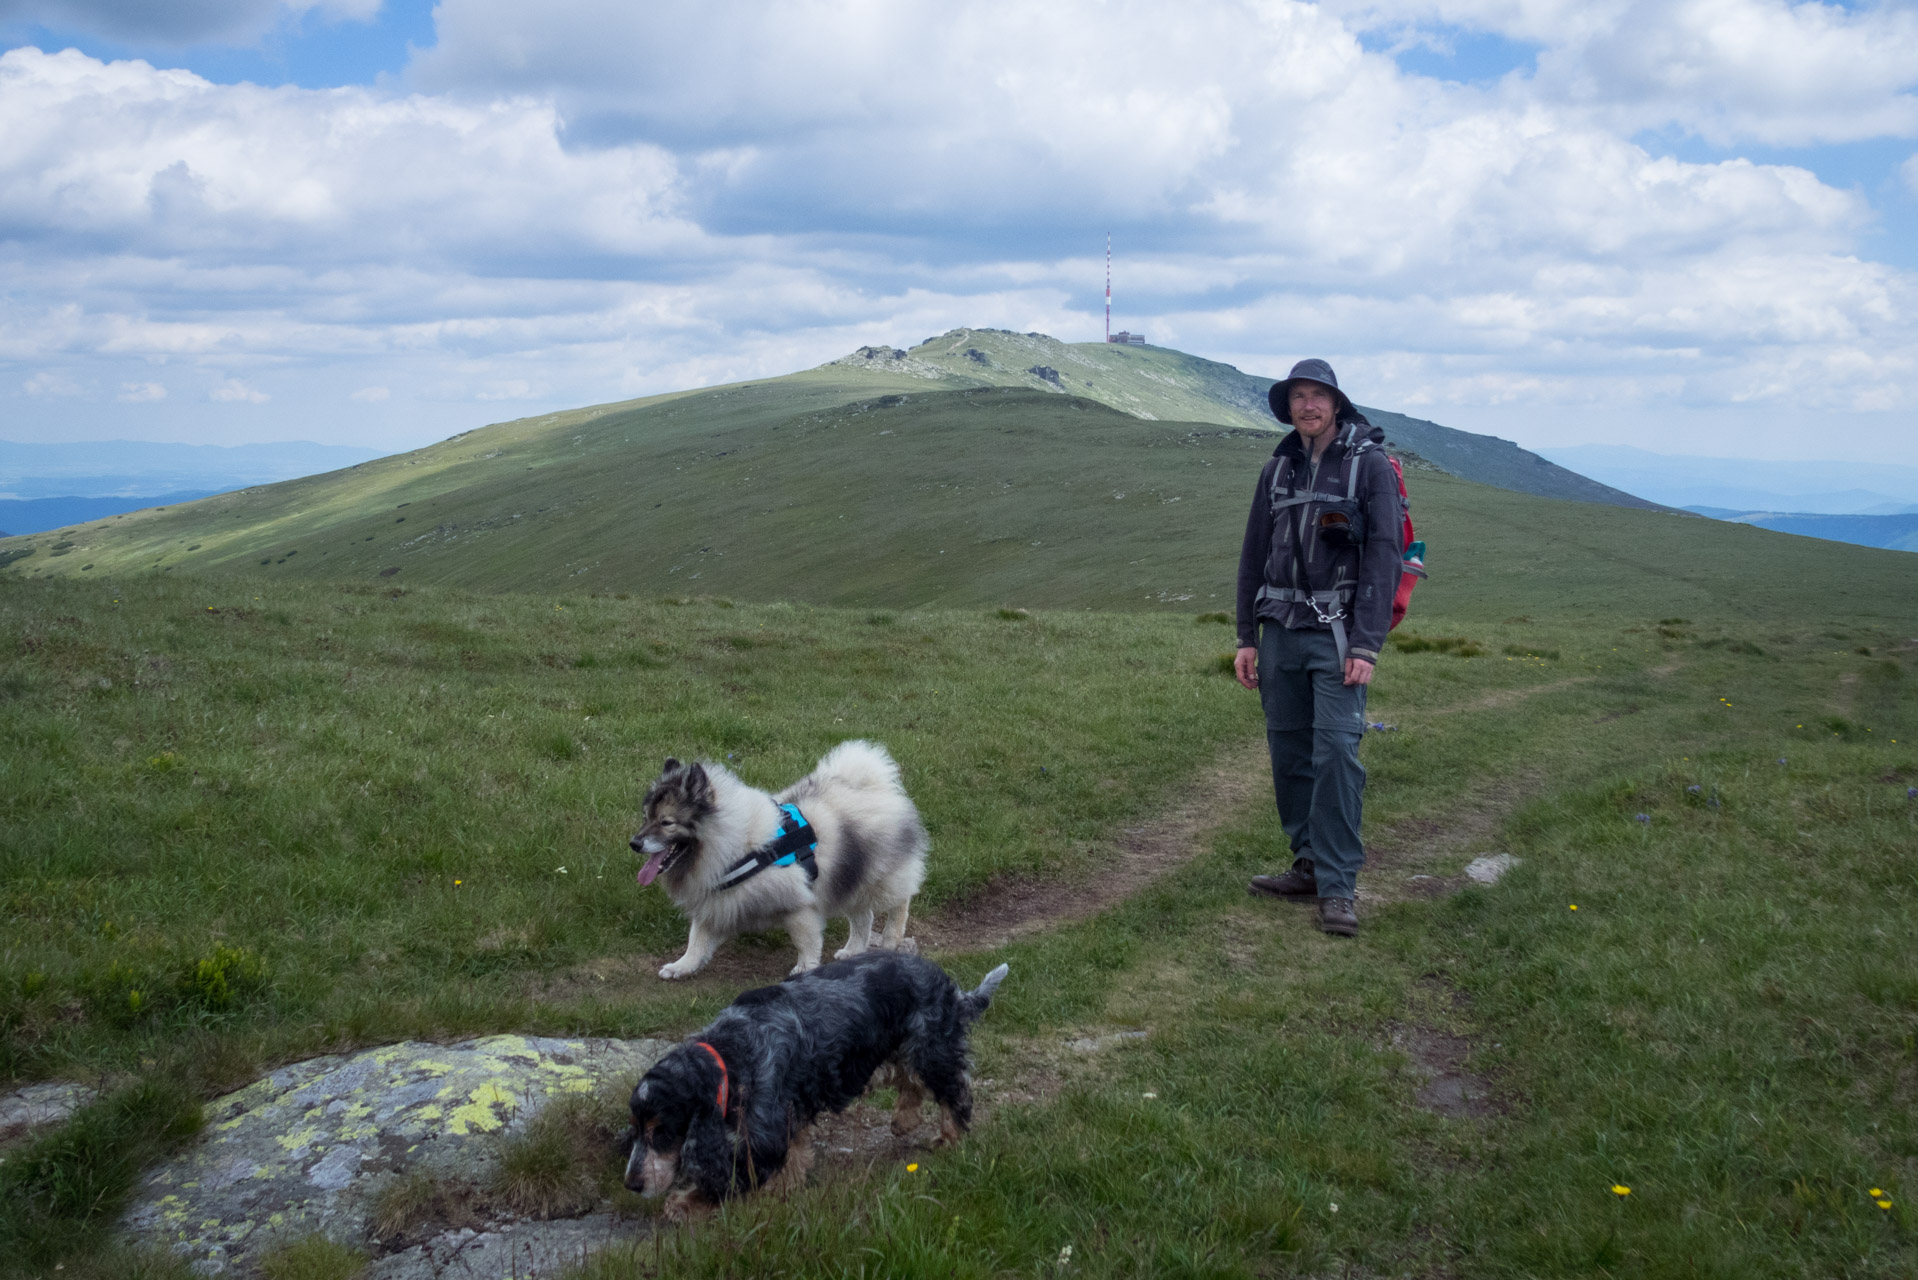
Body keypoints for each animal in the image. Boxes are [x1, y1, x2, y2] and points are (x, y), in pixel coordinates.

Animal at [632, 951, 1020, 1220]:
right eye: (636, 1130)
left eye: (661, 1133)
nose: (631, 1184)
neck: (728, 1053)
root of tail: (949, 986)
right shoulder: (788, 1111)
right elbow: (793, 1155)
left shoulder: (766, 1129)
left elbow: (739, 1174)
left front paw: (685, 1204)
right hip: (896, 1047)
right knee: (910, 1082)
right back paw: (903, 1121)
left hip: (929, 1049)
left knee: (954, 1090)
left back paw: (950, 1139)